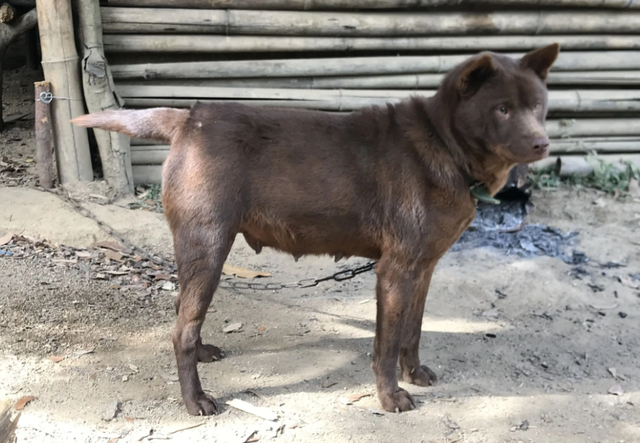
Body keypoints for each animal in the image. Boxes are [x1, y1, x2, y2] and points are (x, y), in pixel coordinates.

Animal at [71, 45, 560, 416]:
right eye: (502, 109)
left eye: (537, 106)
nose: (543, 144)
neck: (445, 146)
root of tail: (189, 119)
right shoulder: (395, 271)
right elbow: (385, 344)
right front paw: (390, 397)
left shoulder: (423, 268)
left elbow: (413, 330)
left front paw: (415, 374)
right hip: (208, 246)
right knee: (181, 331)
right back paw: (196, 401)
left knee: (182, 311)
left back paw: (206, 351)